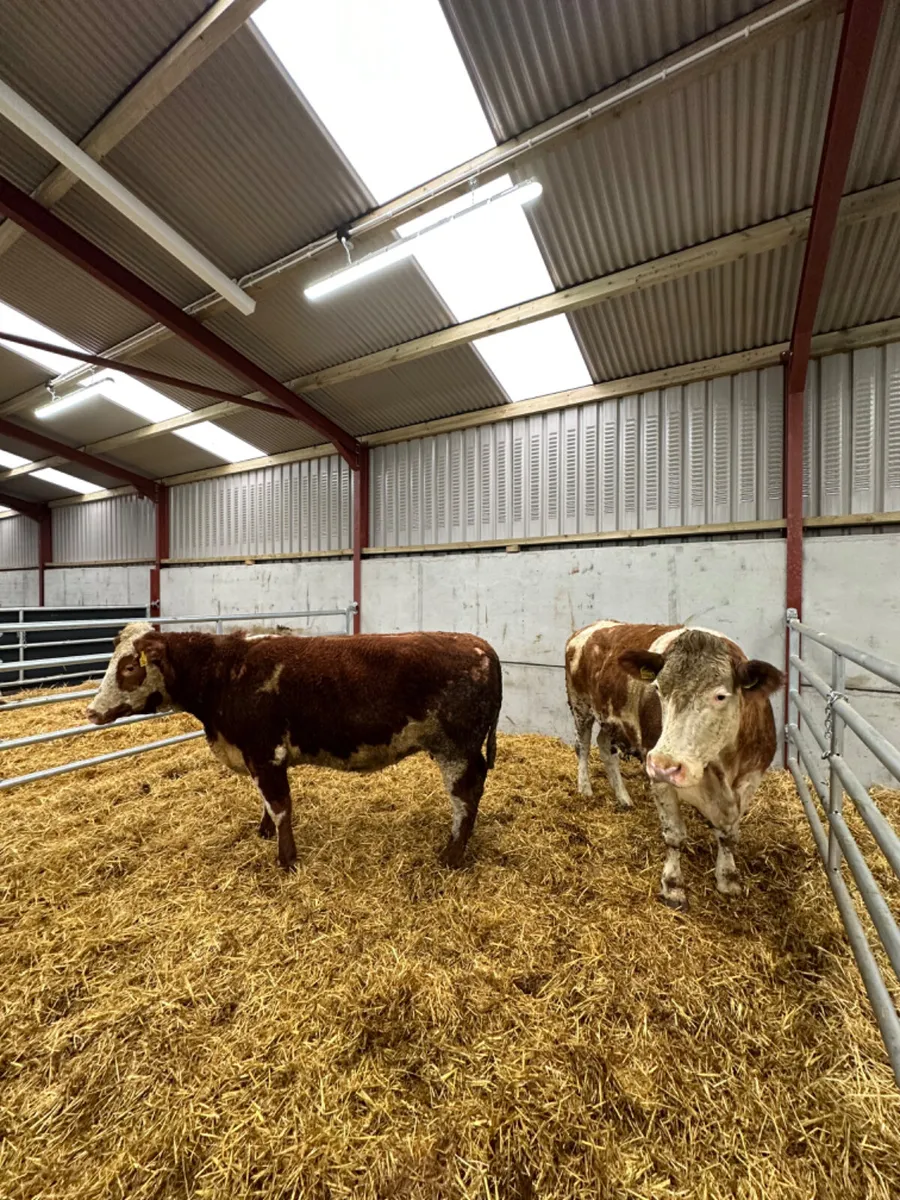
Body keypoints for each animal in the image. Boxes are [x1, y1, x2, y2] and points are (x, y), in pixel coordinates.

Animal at [87, 623, 502, 872]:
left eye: (129, 667)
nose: (91, 711)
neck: (226, 672)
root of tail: (479, 644)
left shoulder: (265, 752)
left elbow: (280, 806)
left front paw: (286, 859)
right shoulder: (258, 756)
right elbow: (266, 802)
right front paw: (264, 831)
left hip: (456, 749)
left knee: (465, 797)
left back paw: (451, 855)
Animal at [565, 620, 783, 909]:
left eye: (720, 696)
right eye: (658, 689)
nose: (664, 764)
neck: (719, 770)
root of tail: (594, 626)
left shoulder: (750, 780)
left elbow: (728, 834)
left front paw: (728, 878)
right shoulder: (659, 778)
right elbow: (675, 835)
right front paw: (672, 886)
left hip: (613, 721)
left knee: (604, 747)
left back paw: (623, 798)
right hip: (581, 707)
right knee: (582, 745)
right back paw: (585, 788)